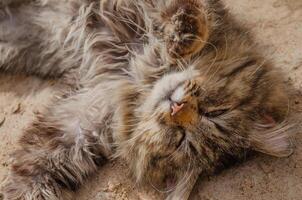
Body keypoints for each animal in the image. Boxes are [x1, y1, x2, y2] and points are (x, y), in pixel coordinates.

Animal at [0, 0, 298, 200]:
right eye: (215, 111)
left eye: (180, 139)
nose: (177, 108)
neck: (134, 75)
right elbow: (190, 18)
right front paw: (182, 37)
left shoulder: (75, 127)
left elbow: (34, 170)